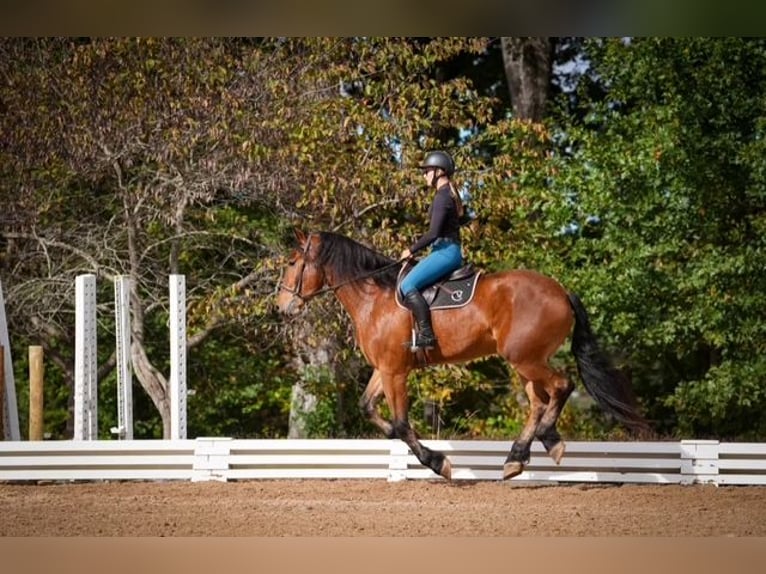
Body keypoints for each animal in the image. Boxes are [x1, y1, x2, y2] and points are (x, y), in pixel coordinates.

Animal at [277, 229, 650, 480]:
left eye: (293, 262)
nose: (281, 306)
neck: (374, 297)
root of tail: (560, 290)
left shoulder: (395, 371)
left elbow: (400, 424)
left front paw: (438, 463)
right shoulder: (384, 368)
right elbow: (370, 409)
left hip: (526, 359)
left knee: (560, 386)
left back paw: (547, 441)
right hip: (525, 362)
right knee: (538, 402)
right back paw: (517, 457)